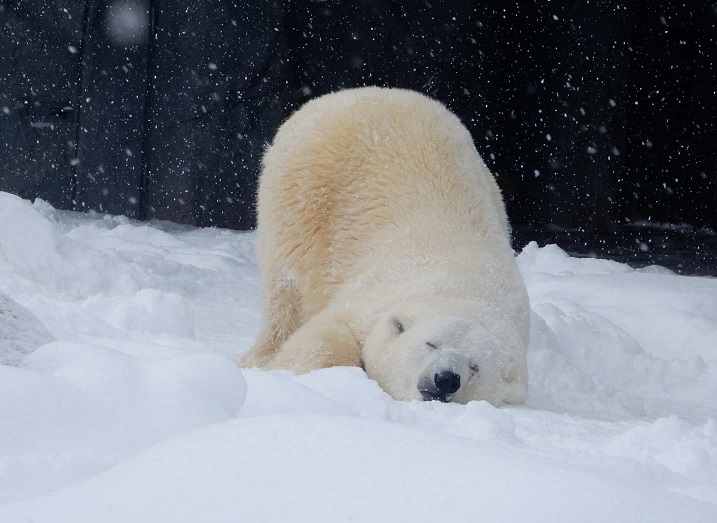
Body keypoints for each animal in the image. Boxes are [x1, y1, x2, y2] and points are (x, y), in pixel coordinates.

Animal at [243, 87, 528, 406]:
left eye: (475, 366)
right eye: (430, 344)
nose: (446, 378)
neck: (465, 288)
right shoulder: (371, 300)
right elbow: (328, 334)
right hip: (303, 194)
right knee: (287, 290)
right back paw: (259, 356)